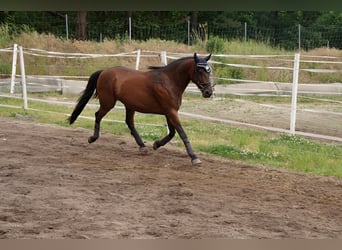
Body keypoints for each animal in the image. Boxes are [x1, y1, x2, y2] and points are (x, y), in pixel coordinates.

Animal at [68, 52, 214, 165]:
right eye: (199, 70)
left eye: (209, 70)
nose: (208, 92)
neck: (169, 81)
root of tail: (104, 71)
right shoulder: (171, 112)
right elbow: (182, 133)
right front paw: (194, 157)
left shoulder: (169, 112)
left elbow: (172, 133)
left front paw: (156, 144)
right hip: (108, 103)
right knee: (98, 115)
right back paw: (93, 138)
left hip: (129, 106)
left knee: (129, 122)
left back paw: (142, 146)